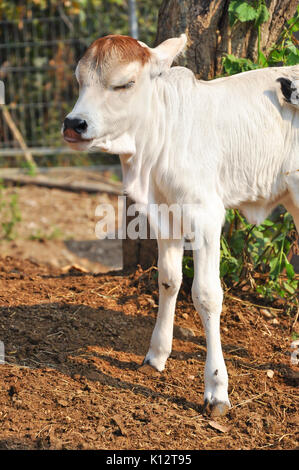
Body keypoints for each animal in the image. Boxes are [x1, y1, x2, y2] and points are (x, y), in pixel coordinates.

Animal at [62, 35, 298, 416]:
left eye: (124, 83)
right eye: (80, 80)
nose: (74, 123)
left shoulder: (206, 216)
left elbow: (206, 294)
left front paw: (217, 388)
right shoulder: (164, 215)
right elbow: (169, 279)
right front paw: (156, 355)